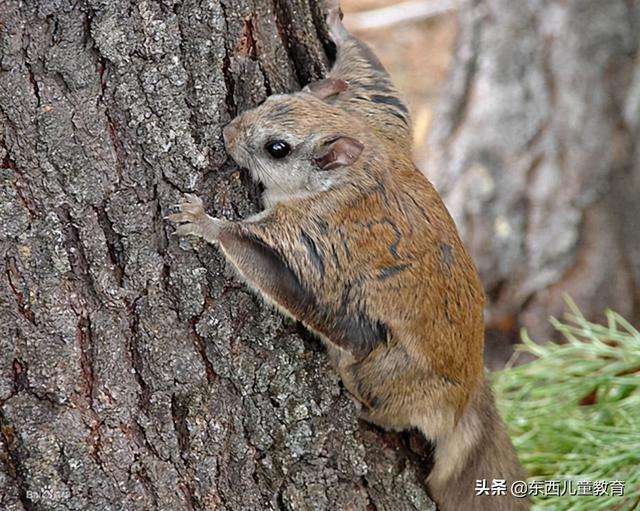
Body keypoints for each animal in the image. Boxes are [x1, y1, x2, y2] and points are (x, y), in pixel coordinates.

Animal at [168, 3, 528, 508]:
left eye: (276, 149)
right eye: (272, 97)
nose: (228, 131)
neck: (354, 171)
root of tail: (468, 394)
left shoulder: (313, 235)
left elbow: (272, 268)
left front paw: (206, 223)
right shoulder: (381, 119)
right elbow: (372, 78)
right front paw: (338, 28)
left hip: (385, 369)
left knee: (387, 406)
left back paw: (362, 404)